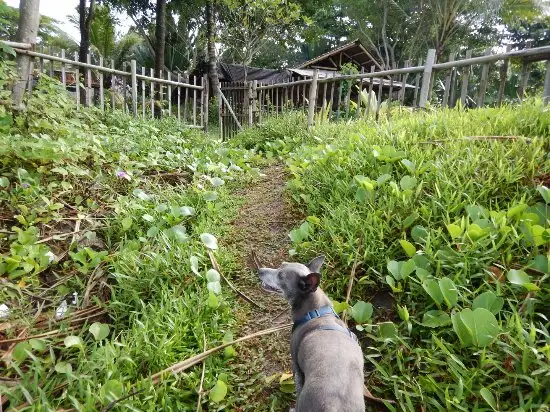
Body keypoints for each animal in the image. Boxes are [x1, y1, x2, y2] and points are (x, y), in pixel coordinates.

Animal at [258, 256, 366, 410]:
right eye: (281, 265)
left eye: (281, 275)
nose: (259, 270)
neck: (316, 311)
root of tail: (333, 407)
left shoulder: (297, 368)